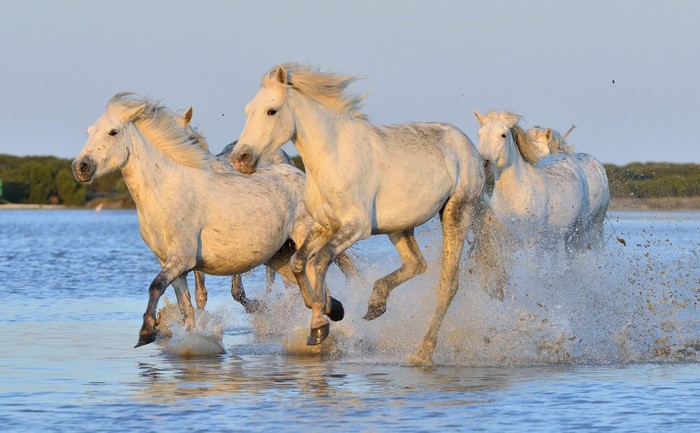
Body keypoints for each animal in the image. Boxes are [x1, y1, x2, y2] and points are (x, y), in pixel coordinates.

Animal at [72, 92, 357, 348]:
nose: (80, 167)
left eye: (113, 132)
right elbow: (186, 306)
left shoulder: (181, 258)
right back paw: (332, 312)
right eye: (89, 131)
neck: (167, 189)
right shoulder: (172, 263)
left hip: (303, 243)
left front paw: (146, 332)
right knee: (306, 283)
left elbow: (156, 286)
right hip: (279, 254)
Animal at [229, 63, 506, 366]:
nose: (240, 159)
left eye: (272, 110)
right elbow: (298, 262)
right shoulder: (325, 226)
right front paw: (332, 309)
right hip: (399, 226)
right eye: (247, 110)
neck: (332, 158)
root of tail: (472, 150)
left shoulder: (355, 228)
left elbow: (320, 261)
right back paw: (376, 304)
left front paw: (319, 327)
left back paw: (423, 352)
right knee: (416, 264)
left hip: (457, 213)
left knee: (448, 284)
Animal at [474, 110, 594, 252]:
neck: (513, 195)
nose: (483, 162)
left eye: (503, 135)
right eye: (479, 134)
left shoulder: (530, 242)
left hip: (578, 230)